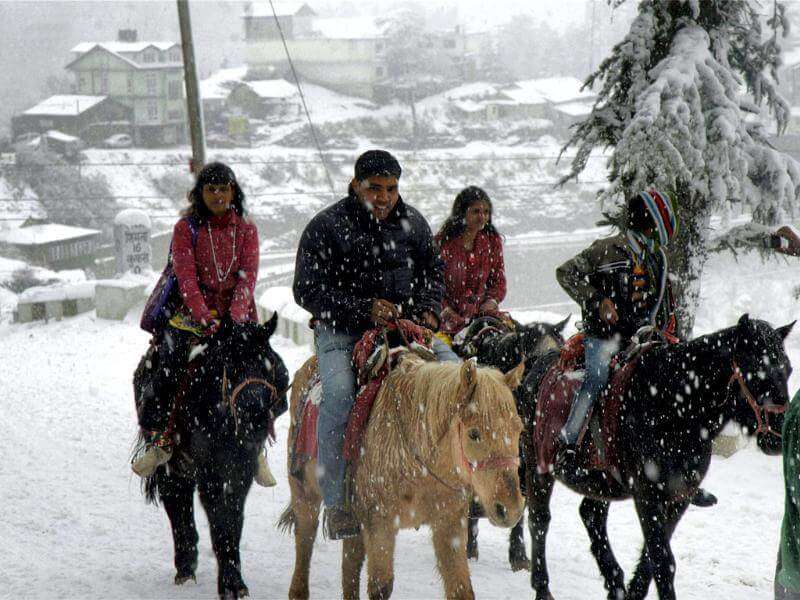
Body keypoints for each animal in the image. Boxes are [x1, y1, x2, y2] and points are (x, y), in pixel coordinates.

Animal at [133, 316, 290, 596]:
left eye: (267, 365)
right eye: (233, 367)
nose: (256, 416)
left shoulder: (241, 468)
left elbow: (234, 518)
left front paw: (235, 581)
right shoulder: (209, 471)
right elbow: (219, 520)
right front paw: (229, 583)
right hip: (169, 457)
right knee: (175, 498)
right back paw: (185, 567)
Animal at [280, 354, 524, 596]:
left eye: (519, 429)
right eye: (474, 433)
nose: (510, 509)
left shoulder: (450, 524)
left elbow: (461, 588)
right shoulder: (381, 526)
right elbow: (380, 586)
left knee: (350, 562)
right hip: (305, 495)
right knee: (305, 540)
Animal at [520, 314, 792, 600]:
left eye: (787, 370)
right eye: (757, 370)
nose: (779, 434)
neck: (676, 407)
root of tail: (536, 367)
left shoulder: (679, 497)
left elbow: (651, 560)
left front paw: (633, 592)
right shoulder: (647, 495)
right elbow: (662, 561)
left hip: (601, 482)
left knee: (591, 514)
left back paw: (615, 583)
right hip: (538, 465)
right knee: (539, 520)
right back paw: (542, 587)